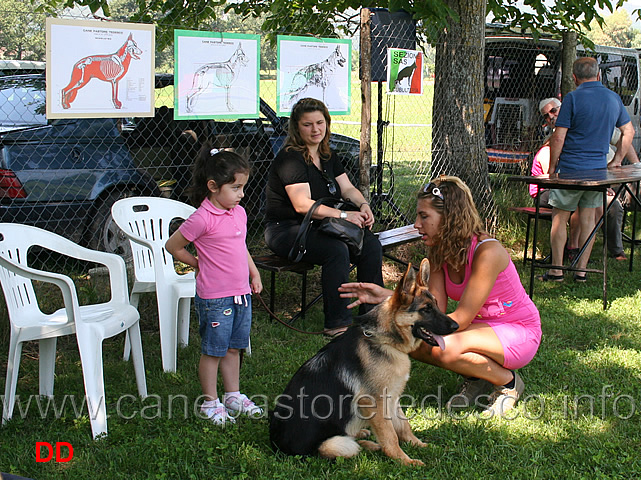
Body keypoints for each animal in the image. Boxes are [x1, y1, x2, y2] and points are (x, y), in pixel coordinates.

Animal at [268, 260, 458, 466]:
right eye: (426, 309)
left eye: (436, 305)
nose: (456, 326)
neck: (384, 340)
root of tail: (276, 446)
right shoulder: (375, 401)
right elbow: (390, 436)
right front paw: (404, 461)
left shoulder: (392, 397)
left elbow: (403, 426)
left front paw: (420, 445)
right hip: (332, 444)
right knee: (347, 446)